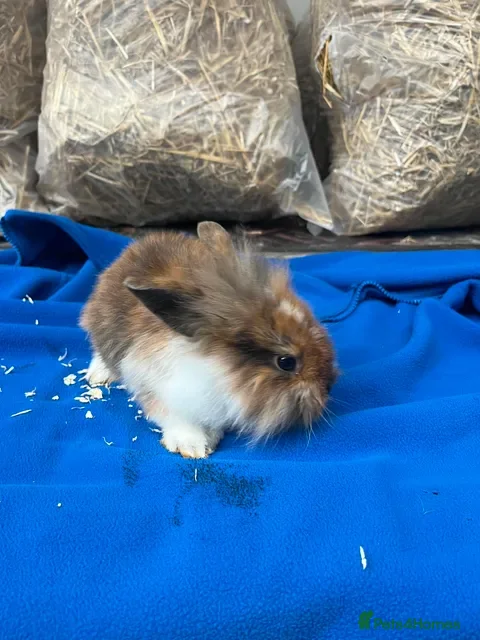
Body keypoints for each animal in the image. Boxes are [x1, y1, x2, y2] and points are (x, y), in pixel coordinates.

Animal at [80, 221, 336, 458]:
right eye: (286, 362)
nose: (329, 385)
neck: (219, 368)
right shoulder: (155, 388)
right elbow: (174, 418)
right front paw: (193, 446)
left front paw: (210, 438)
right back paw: (99, 375)